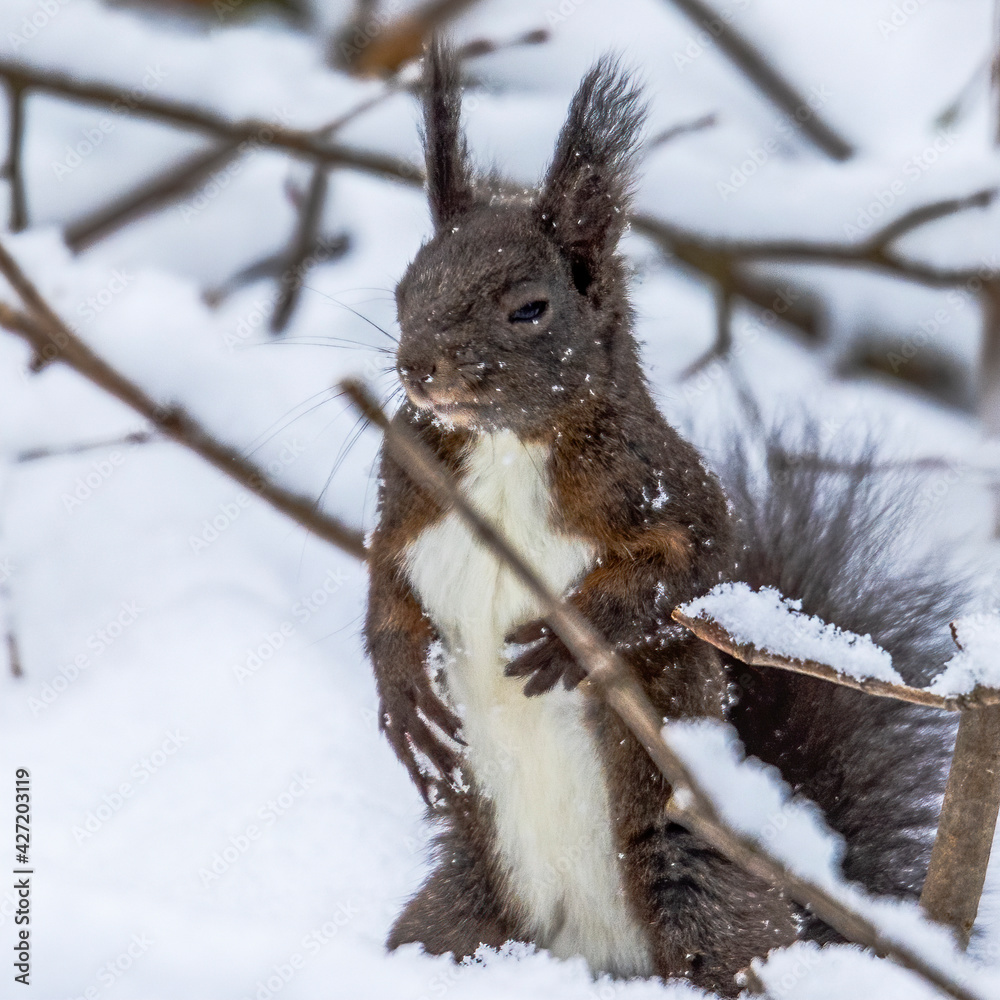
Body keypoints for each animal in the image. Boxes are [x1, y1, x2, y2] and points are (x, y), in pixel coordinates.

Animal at [363, 39, 967, 997]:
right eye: (405, 288)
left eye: (528, 307)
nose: (420, 368)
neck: (503, 446)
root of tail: (597, 959)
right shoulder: (404, 498)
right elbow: (384, 587)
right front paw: (403, 697)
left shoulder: (669, 490)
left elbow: (693, 565)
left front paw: (570, 639)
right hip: (462, 910)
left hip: (695, 893)